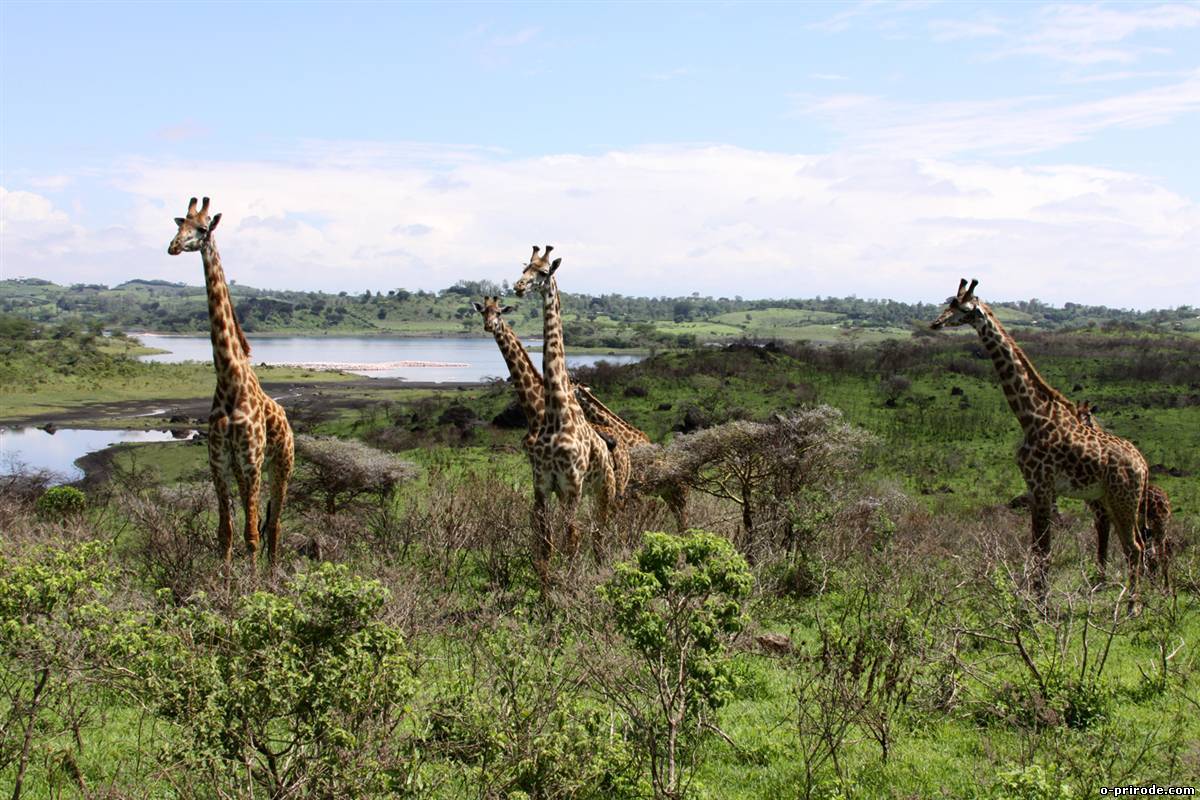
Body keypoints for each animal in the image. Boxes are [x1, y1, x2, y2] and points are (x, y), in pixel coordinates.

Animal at [168, 195, 294, 568]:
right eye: (179, 225)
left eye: (202, 228)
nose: (173, 246)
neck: (228, 378)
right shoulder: (220, 461)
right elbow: (225, 533)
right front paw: (220, 580)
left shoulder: (252, 461)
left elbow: (252, 536)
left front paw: (252, 584)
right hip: (243, 469)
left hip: (281, 465)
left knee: (275, 525)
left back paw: (272, 573)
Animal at [511, 244, 619, 582]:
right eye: (524, 268)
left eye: (544, 272)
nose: (518, 287)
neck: (556, 413)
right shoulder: (544, 486)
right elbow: (545, 544)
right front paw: (546, 591)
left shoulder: (573, 485)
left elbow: (571, 537)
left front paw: (570, 586)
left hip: (604, 488)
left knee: (599, 532)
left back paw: (601, 570)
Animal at [926, 281, 1152, 606]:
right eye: (948, 303)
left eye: (963, 309)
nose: (936, 323)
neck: (1030, 415)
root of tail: (1143, 465)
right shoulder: (1034, 488)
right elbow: (1035, 548)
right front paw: (1032, 601)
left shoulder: (1044, 485)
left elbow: (1044, 551)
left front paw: (1041, 607)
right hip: (1112, 498)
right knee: (1130, 543)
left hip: (1124, 498)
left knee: (1135, 547)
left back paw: (1132, 607)